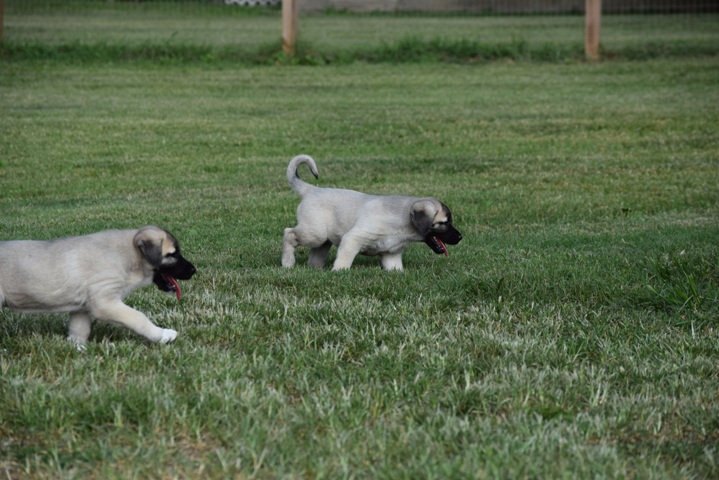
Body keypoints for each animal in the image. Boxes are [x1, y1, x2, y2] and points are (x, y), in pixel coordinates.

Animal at [0, 226, 196, 347]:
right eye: (173, 254)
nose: (194, 270)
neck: (129, 256)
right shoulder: (105, 302)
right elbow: (138, 317)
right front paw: (162, 335)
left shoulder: (82, 307)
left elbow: (80, 330)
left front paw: (77, 350)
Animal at [282, 155, 462, 271]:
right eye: (444, 223)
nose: (460, 237)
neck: (403, 223)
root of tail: (311, 190)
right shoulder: (352, 239)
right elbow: (344, 261)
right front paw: (339, 273)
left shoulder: (391, 255)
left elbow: (395, 269)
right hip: (315, 233)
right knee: (289, 233)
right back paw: (288, 263)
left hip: (323, 239)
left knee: (316, 254)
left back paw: (315, 269)